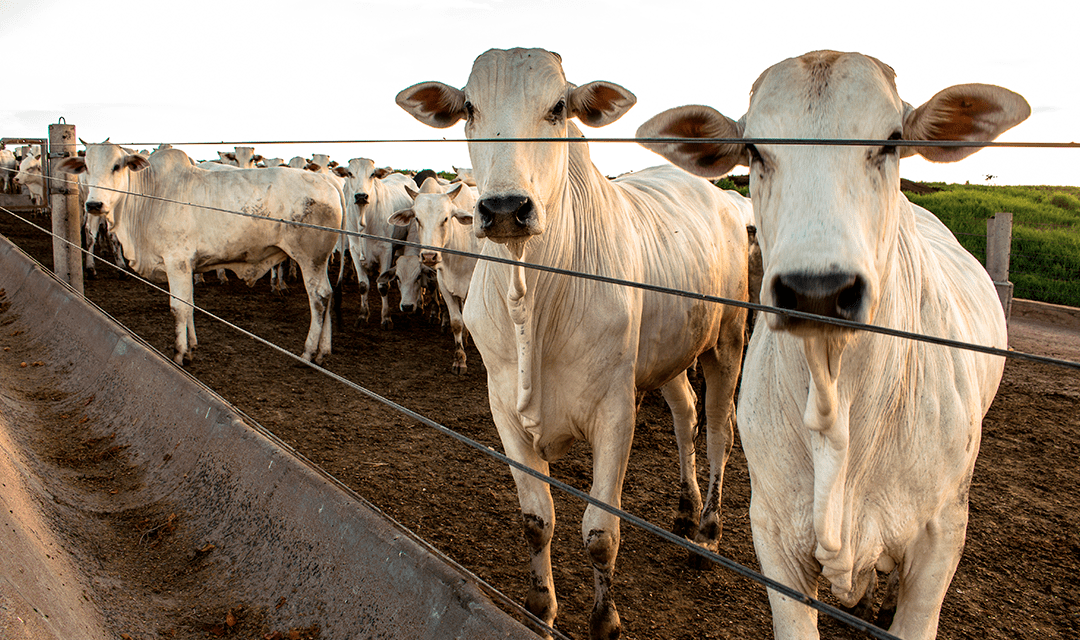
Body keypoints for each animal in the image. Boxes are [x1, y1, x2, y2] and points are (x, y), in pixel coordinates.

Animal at [56, 143, 341, 364]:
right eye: (86, 167)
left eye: (117, 166)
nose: (94, 204)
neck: (150, 196)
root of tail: (327, 181)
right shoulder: (187, 266)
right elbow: (190, 303)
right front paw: (192, 345)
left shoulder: (177, 262)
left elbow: (178, 307)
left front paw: (180, 353)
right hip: (320, 261)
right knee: (328, 294)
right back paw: (323, 352)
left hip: (309, 258)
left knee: (318, 298)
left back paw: (308, 353)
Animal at [332, 158, 412, 330]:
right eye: (350, 173)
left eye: (372, 174)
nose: (361, 196)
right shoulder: (355, 251)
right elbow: (363, 285)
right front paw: (363, 315)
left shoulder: (386, 251)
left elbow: (383, 286)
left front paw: (386, 318)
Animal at [388, 174, 481, 373]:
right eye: (417, 219)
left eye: (446, 218)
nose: (429, 256)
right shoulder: (445, 285)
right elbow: (457, 322)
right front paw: (459, 358)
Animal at [639, 51, 1028, 638]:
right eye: (754, 149)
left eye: (891, 141)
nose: (816, 290)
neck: (835, 401)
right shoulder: (774, 535)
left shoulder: (942, 536)